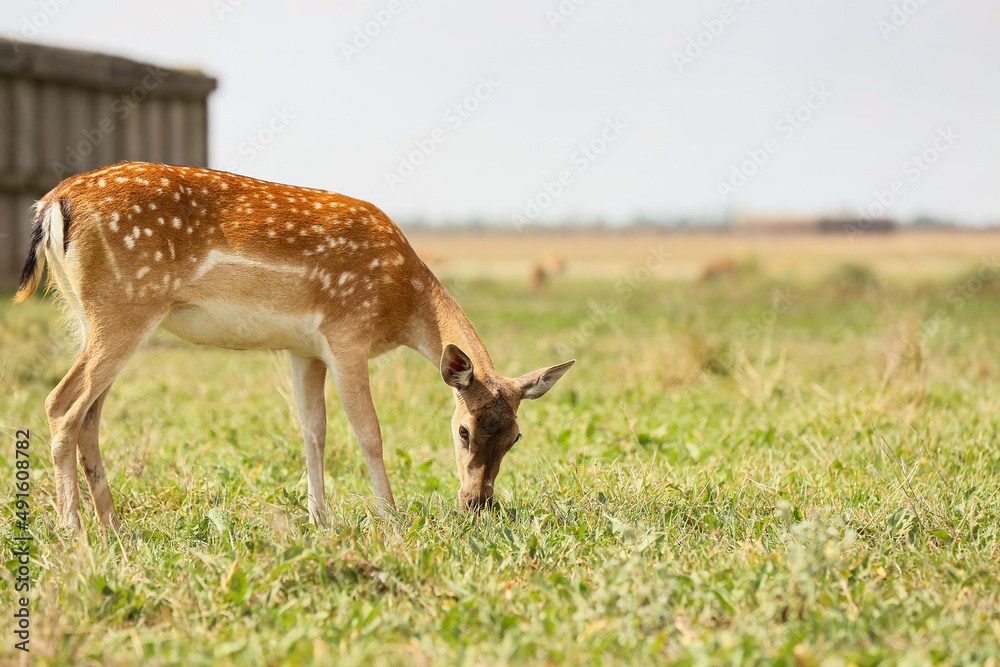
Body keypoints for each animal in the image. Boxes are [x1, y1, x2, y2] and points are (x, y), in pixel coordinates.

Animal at [15, 163, 576, 532]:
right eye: (462, 431)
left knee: (89, 413)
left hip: (89, 315)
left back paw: (111, 525)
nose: (476, 504)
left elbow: (313, 431)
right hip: (122, 308)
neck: (400, 303)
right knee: (62, 404)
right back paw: (73, 532)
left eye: (516, 438)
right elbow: (369, 432)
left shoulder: (305, 349)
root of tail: (52, 205)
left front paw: (320, 518)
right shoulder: (346, 335)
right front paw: (390, 518)